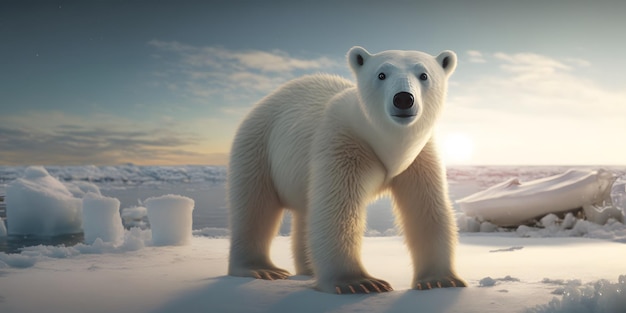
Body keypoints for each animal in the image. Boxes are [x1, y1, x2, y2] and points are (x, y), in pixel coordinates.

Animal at [227, 46, 466, 292]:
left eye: (424, 75)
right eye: (381, 74)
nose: (403, 98)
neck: (387, 144)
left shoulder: (420, 158)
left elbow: (427, 208)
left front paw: (440, 280)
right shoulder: (343, 143)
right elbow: (337, 209)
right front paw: (359, 282)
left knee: (305, 211)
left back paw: (308, 270)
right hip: (258, 146)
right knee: (255, 206)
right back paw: (261, 269)